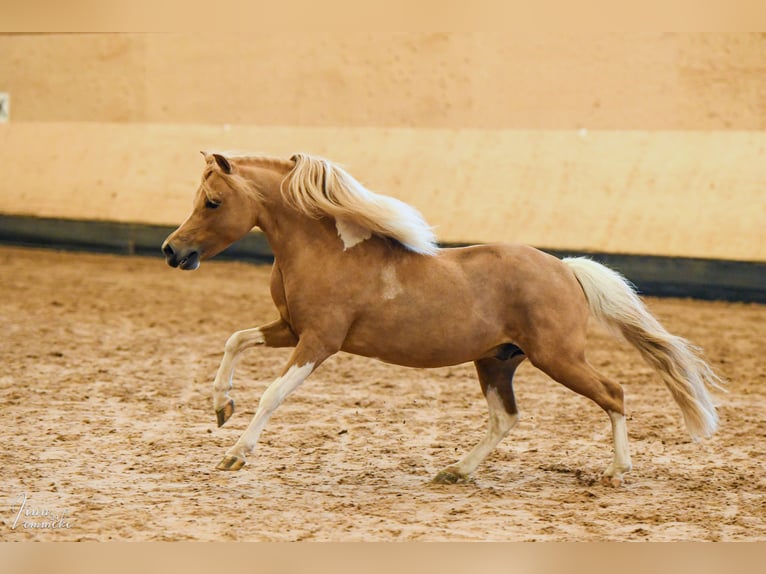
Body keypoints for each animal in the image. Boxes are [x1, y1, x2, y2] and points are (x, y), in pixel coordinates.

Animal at [164, 151, 728, 488]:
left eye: (212, 202)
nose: (173, 251)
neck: (325, 251)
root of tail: (566, 269)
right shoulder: (289, 330)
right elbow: (235, 340)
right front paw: (221, 407)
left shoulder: (319, 341)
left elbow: (272, 394)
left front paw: (235, 453)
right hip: (497, 361)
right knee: (506, 417)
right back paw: (455, 471)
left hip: (557, 357)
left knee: (614, 394)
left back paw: (617, 471)